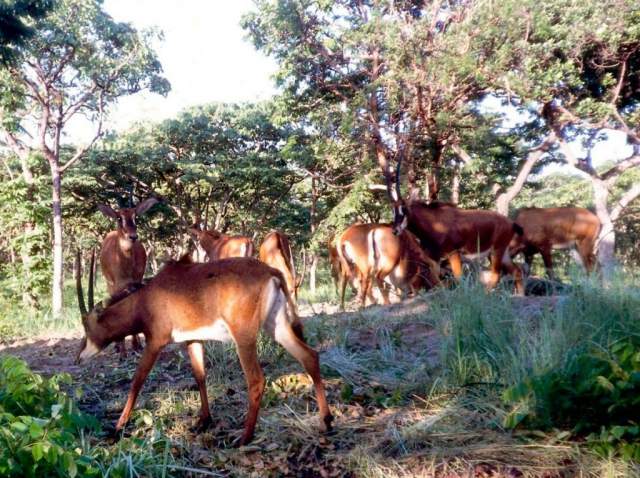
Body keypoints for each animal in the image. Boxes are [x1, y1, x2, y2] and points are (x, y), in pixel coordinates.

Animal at [75, 256, 332, 446]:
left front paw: (117, 428)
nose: (79, 357)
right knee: (309, 356)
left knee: (257, 379)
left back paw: (244, 438)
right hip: (275, 326)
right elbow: (200, 376)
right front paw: (204, 421)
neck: (144, 300)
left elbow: (137, 381)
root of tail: (271, 272)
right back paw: (326, 421)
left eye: (86, 325)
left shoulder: (155, 342)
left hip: (244, 336)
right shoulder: (193, 340)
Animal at [97, 196, 159, 356]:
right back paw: (118, 347)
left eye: (135, 216)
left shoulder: (136, 282)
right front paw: (123, 352)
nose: (133, 236)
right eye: (119, 218)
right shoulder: (117, 286)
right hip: (109, 284)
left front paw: (136, 345)